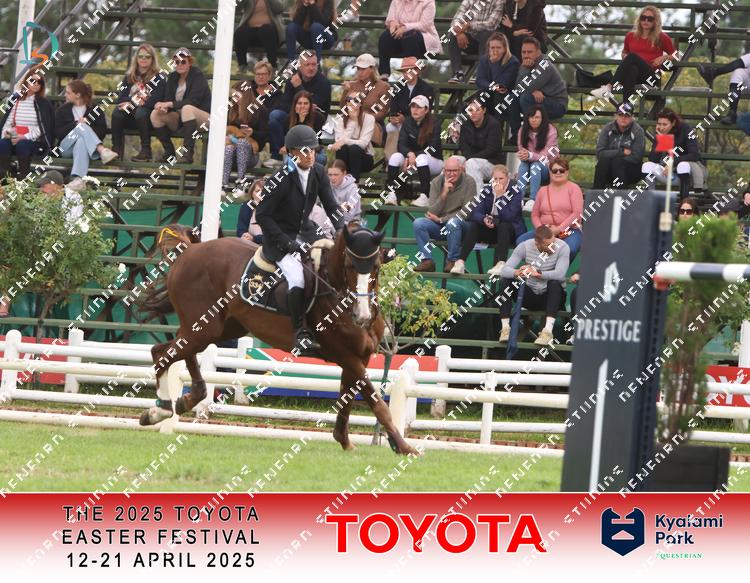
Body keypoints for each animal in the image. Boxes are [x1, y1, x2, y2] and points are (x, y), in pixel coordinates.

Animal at [138, 223, 418, 456]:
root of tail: (190, 252)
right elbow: (377, 404)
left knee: (172, 350)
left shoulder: (359, 357)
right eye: (350, 266)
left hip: (220, 329)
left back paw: (186, 399)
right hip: (204, 327)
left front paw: (345, 441)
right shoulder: (346, 356)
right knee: (162, 354)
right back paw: (160, 410)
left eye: (376, 268)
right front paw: (405, 447)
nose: (362, 316)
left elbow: (348, 398)